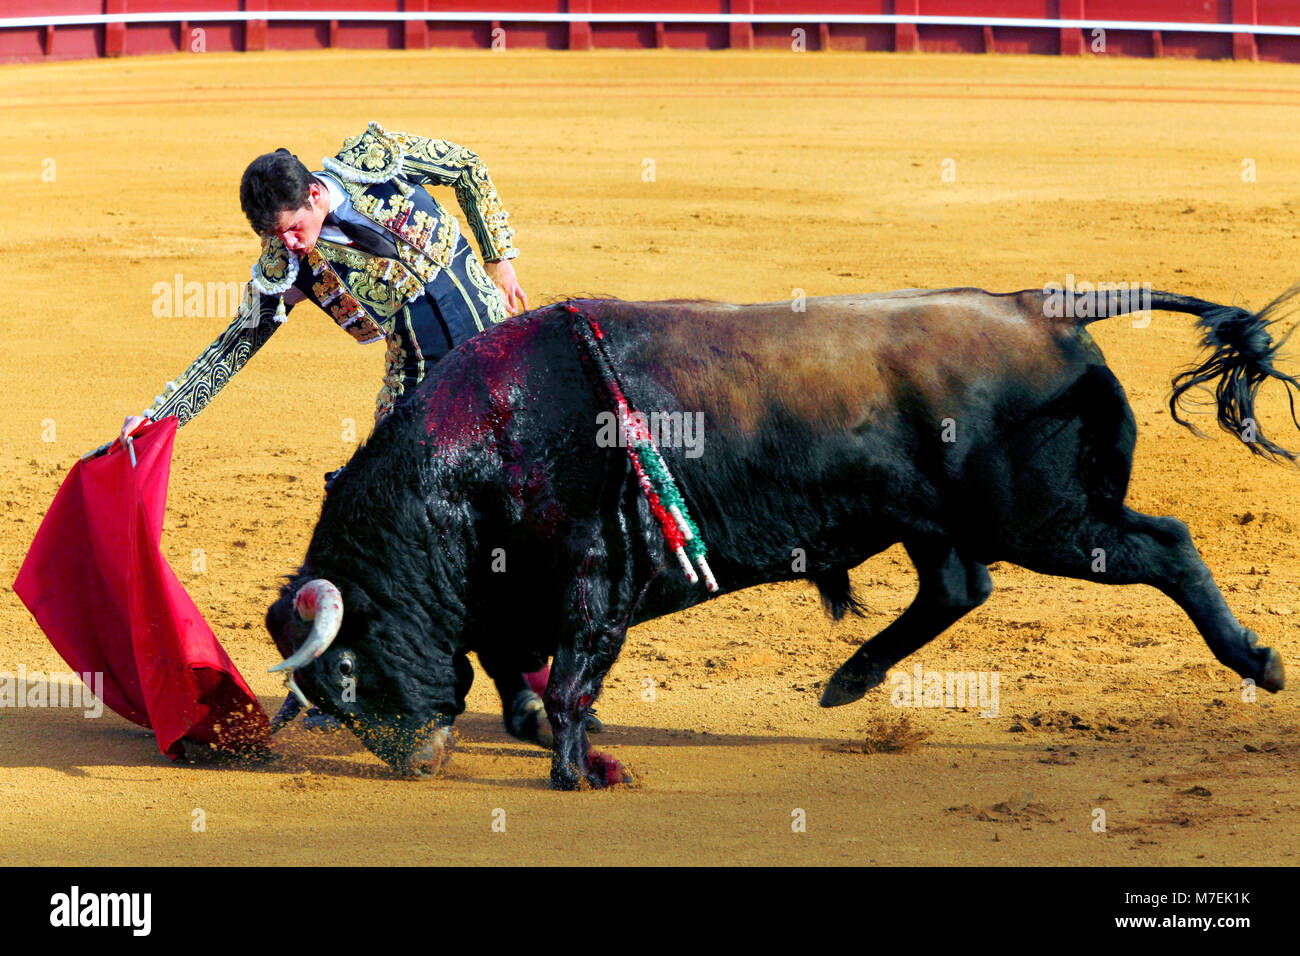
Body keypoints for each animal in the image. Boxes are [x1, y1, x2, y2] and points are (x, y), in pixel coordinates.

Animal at [266, 287, 1300, 790]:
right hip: (934, 520)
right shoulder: (515, 594)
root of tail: (1042, 307)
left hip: (1044, 519)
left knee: (1165, 546)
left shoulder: (594, 575)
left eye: (349, 674)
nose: (418, 761)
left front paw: (579, 773)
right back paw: (848, 681)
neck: (483, 445)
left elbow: (568, 679)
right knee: (959, 587)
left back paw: (1259, 661)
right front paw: (562, 746)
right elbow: (524, 670)